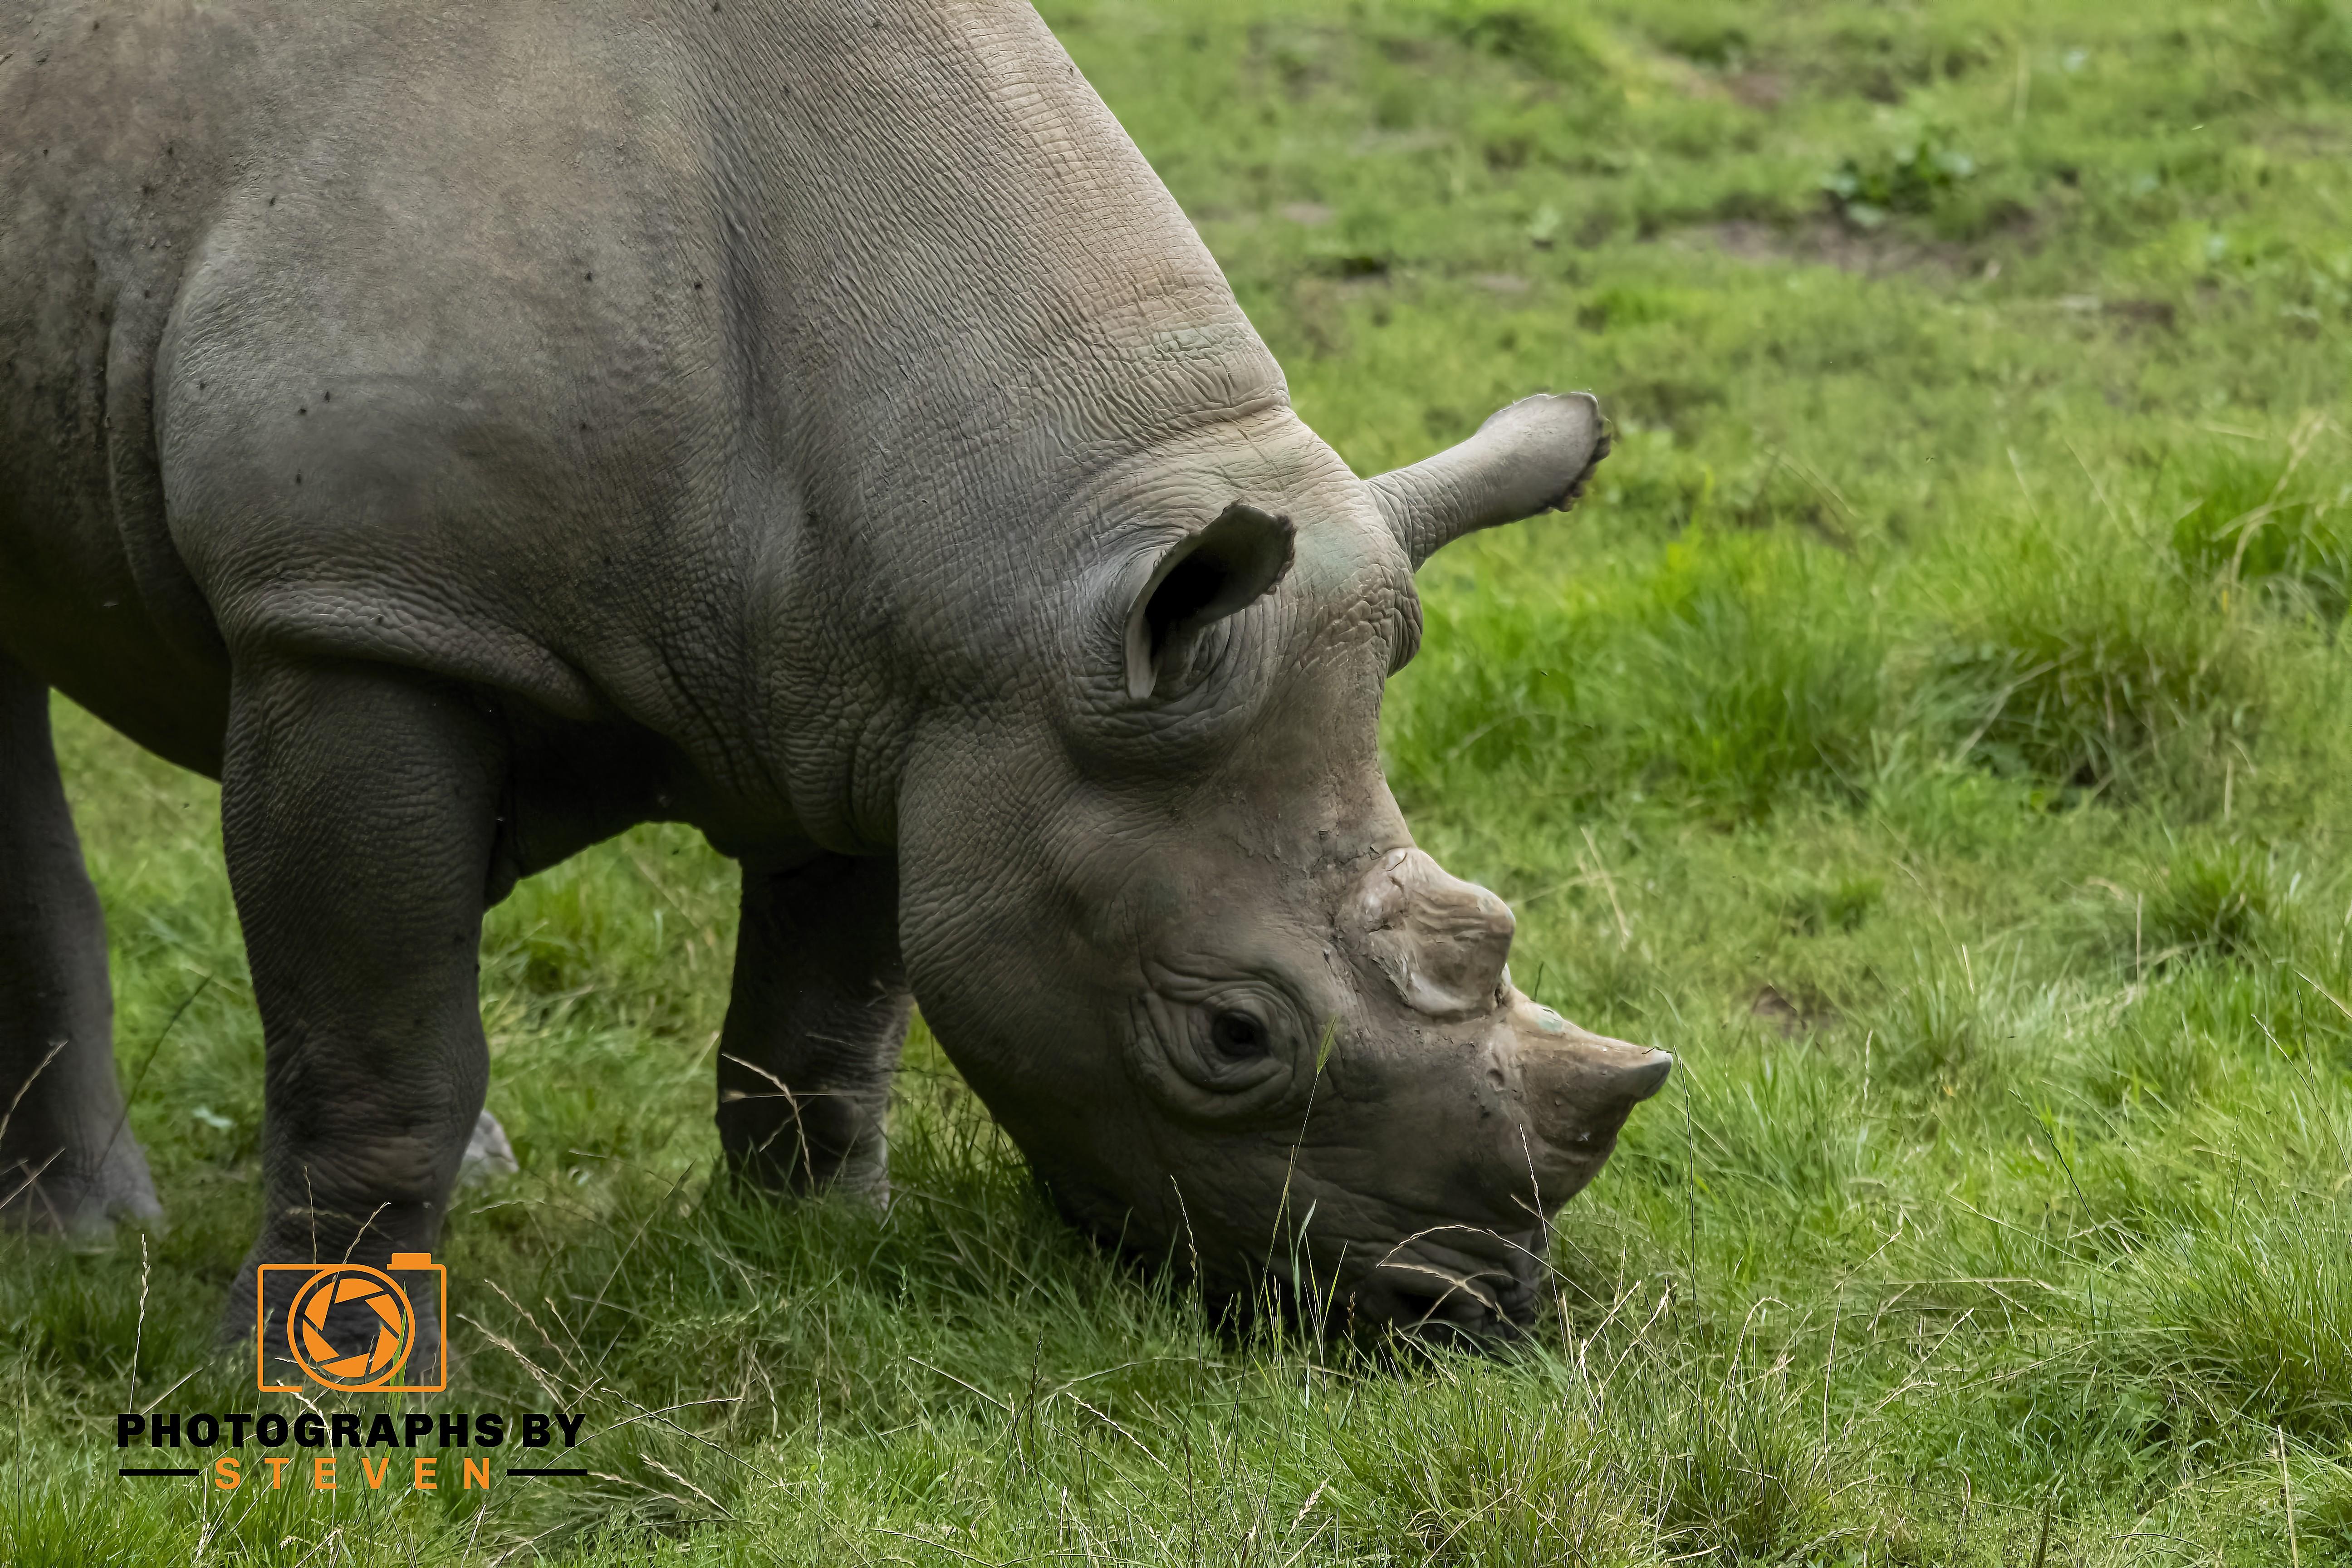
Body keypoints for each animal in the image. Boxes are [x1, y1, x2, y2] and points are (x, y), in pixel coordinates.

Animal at [0, 0, 1669, 1342]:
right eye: (1231, 1038)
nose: (1470, 1311)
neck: (1007, 549)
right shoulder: (351, 609)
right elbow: (378, 1047)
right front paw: (311, 1377)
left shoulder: (911, 690)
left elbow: (826, 1014)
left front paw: (813, 1247)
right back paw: (86, 1244)